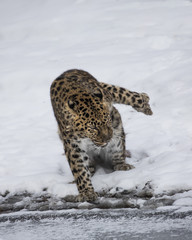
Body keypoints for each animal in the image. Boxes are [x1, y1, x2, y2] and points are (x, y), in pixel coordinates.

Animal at [50, 69, 153, 202]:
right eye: (92, 128)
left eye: (107, 121)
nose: (108, 139)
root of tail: (67, 71)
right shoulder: (72, 144)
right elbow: (79, 169)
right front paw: (86, 192)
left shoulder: (114, 120)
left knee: (123, 93)